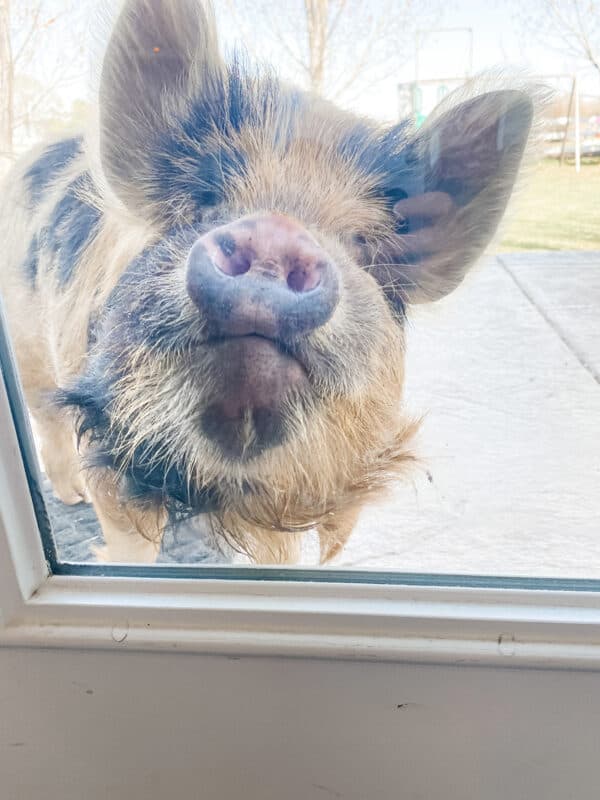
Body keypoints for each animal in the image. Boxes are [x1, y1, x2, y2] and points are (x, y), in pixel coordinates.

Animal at [0, 0, 539, 565]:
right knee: (44, 413)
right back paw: (71, 497)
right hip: (26, 336)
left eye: (361, 244)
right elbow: (129, 541)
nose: (277, 231)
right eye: (205, 199)